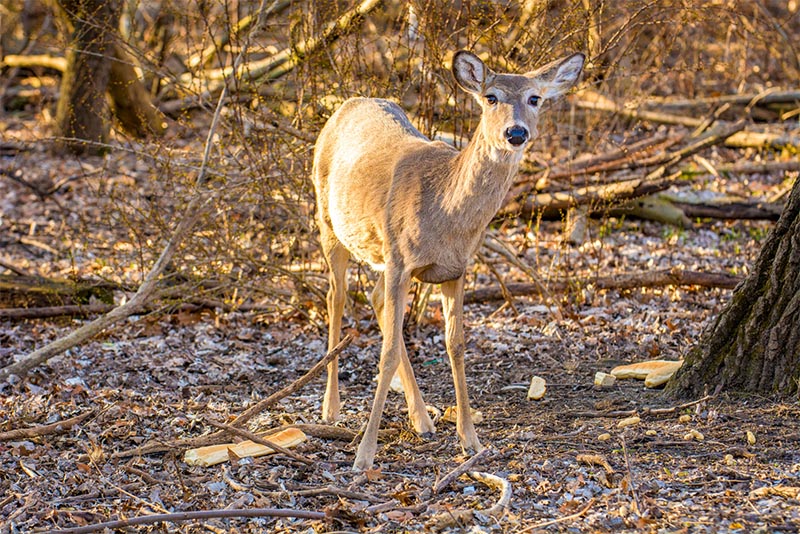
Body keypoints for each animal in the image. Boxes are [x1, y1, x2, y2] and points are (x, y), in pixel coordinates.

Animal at [314, 48, 588, 472]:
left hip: (381, 254)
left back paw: (422, 420)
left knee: (373, 298)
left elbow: (455, 345)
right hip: (329, 222)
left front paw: (470, 440)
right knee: (336, 297)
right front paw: (364, 455)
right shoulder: (401, 260)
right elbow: (387, 351)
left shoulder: (455, 269)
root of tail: (348, 103)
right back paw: (331, 408)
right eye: (491, 97)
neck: (444, 208)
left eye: (535, 98)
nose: (516, 133)